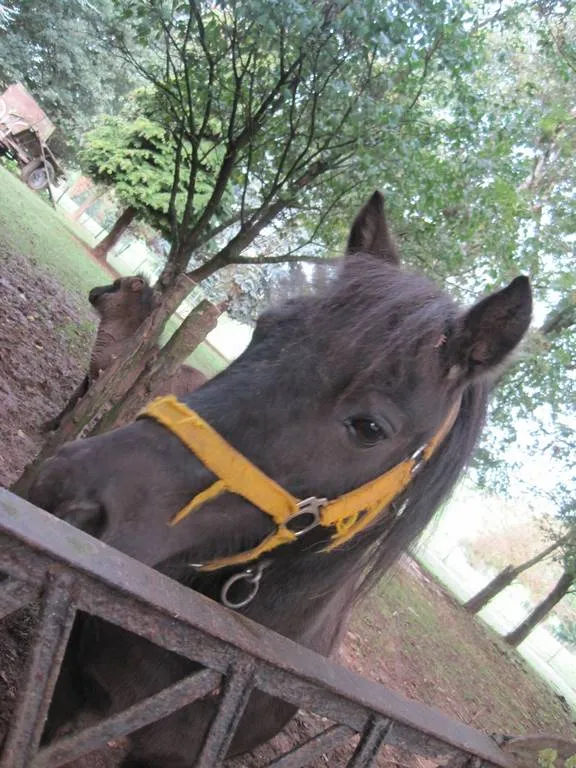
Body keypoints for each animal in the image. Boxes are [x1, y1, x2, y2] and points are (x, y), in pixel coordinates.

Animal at [42, 275, 207, 432]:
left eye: (117, 284)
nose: (93, 291)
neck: (122, 346)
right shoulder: (90, 377)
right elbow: (73, 401)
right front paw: (49, 425)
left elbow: (77, 413)